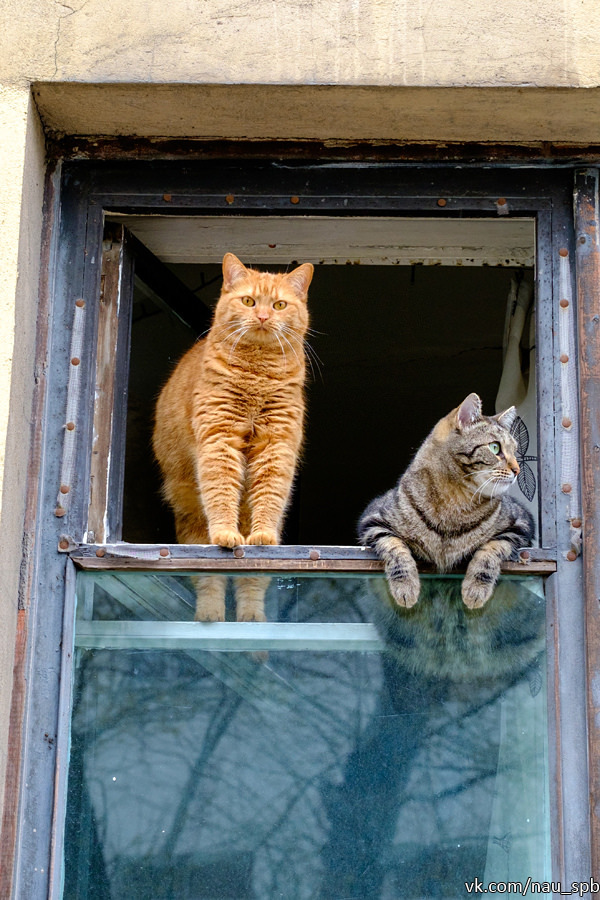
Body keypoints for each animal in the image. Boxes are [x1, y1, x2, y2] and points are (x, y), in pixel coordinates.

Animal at [152, 251, 314, 620]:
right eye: (249, 301)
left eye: (280, 304)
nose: (264, 316)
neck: (257, 375)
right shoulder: (218, 439)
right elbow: (221, 491)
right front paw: (226, 533)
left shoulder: (276, 446)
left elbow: (269, 497)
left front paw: (262, 535)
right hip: (191, 516)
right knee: (208, 574)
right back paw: (211, 614)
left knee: (251, 580)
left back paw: (251, 617)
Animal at [358, 392, 532, 608]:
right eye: (495, 447)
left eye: (515, 450)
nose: (517, 470)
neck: (456, 499)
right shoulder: (373, 520)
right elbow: (395, 548)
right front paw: (406, 587)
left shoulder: (520, 525)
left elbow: (491, 550)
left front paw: (476, 590)